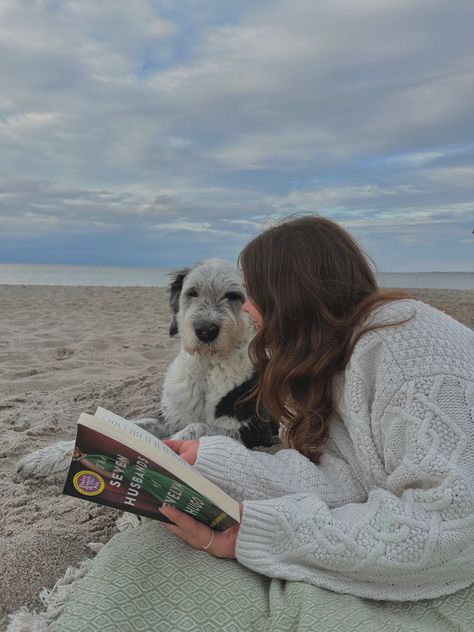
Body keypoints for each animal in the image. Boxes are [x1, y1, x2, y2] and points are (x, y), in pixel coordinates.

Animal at [18, 260, 276, 476]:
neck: (207, 370)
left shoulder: (254, 430)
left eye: (233, 295)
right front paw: (46, 456)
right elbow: (125, 426)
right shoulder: (168, 419)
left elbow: (198, 427)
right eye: (192, 292)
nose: (205, 330)